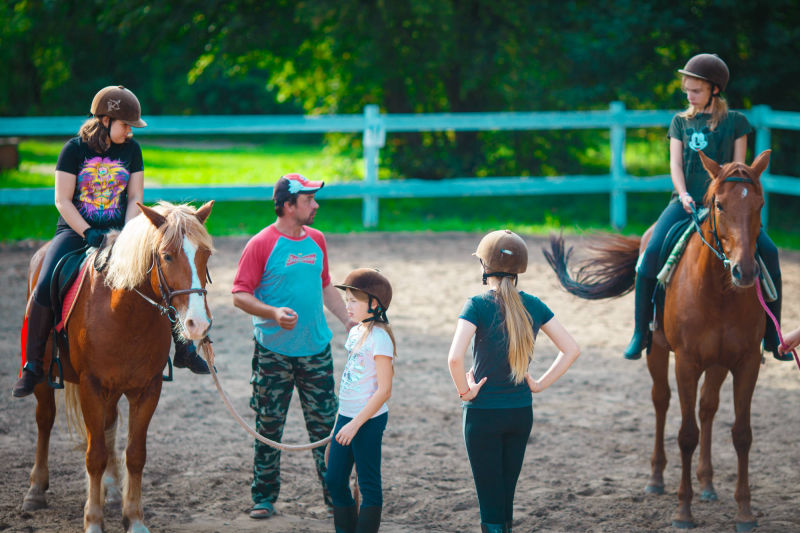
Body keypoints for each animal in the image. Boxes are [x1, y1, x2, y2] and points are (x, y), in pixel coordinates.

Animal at [21, 201, 214, 532]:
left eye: (205, 255)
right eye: (167, 255)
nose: (198, 324)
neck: (123, 311)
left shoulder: (148, 388)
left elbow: (135, 454)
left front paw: (133, 518)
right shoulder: (91, 386)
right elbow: (94, 455)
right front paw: (93, 521)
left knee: (109, 424)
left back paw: (110, 488)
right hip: (45, 377)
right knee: (44, 419)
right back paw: (35, 489)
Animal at [544, 149, 768, 528]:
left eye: (760, 205)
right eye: (720, 205)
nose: (745, 271)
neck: (719, 291)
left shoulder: (746, 362)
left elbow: (741, 434)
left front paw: (745, 512)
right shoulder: (687, 362)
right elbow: (686, 434)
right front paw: (683, 512)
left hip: (718, 363)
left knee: (707, 408)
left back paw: (708, 484)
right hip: (658, 350)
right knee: (661, 401)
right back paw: (656, 479)